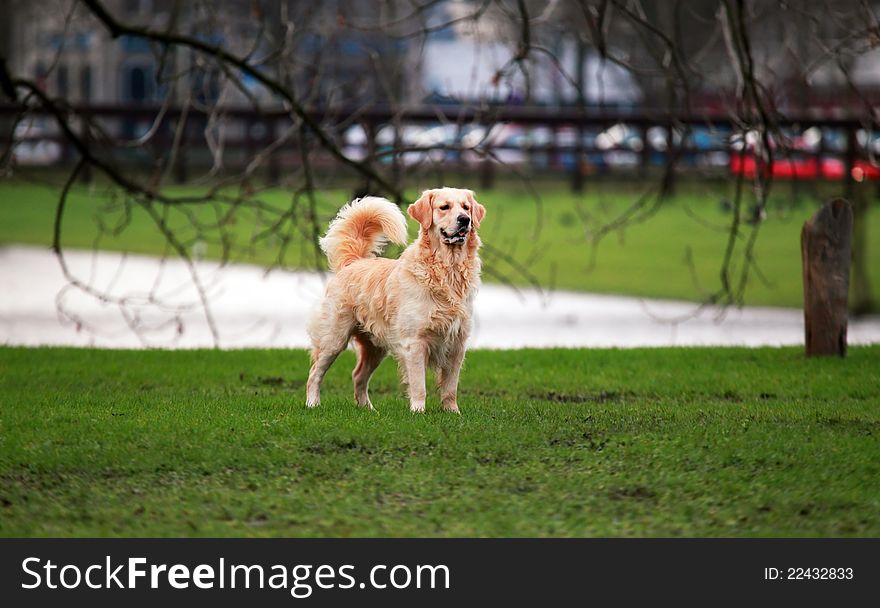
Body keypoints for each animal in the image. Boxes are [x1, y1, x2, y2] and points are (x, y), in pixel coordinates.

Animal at [304, 185, 484, 414]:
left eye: (466, 207)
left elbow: (450, 387)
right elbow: (419, 385)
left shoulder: (457, 343)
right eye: (444, 207)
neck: (446, 271)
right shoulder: (415, 342)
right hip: (334, 339)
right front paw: (418, 412)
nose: (464, 220)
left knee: (358, 376)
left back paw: (369, 410)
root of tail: (353, 262)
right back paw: (312, 404)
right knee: (314, 373)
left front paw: (453, 412)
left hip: (375, 347)